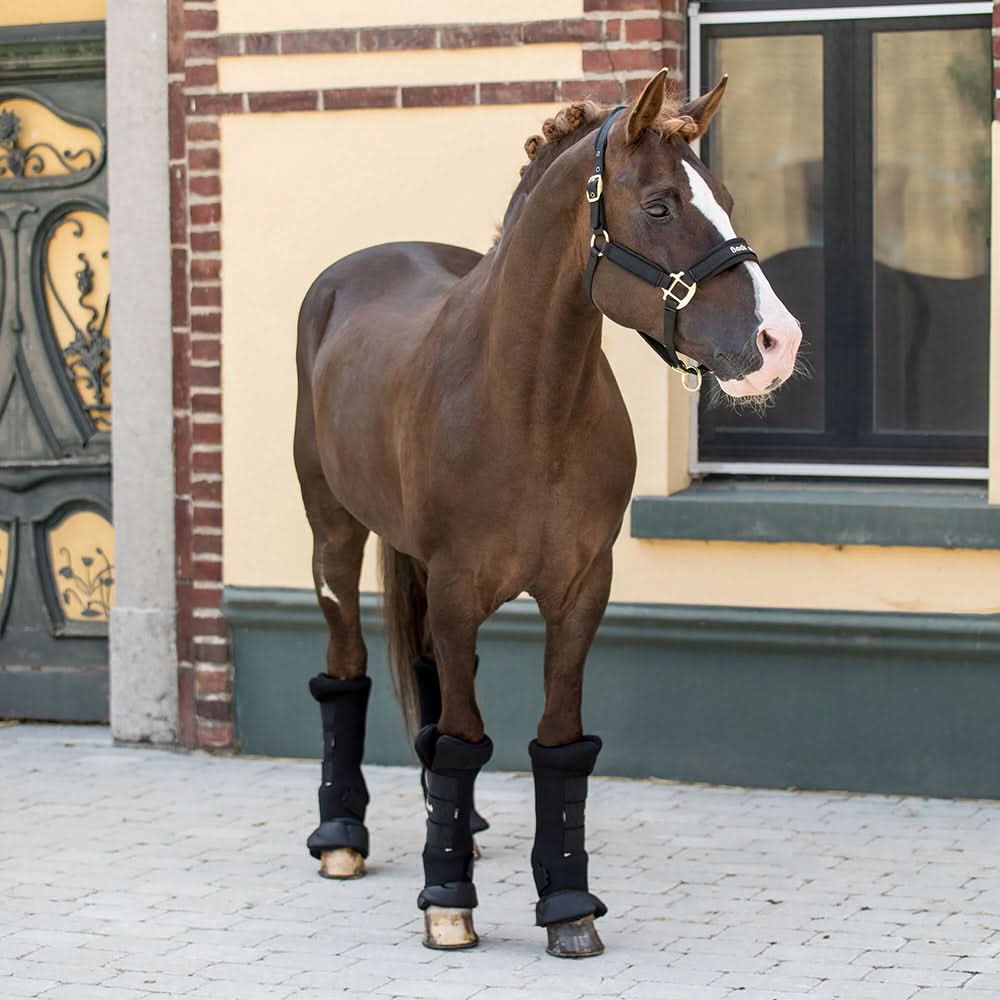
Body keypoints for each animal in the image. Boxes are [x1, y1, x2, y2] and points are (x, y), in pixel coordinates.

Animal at [293, 69, 802, 959]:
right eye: (660, 205)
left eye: (728, 198)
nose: (779, 343)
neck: (530, 406)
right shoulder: (459, 586)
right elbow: (465, 739)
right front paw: (447, 903)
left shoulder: (580, 589)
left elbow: (558, 744)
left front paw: (567, 905)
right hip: (335, 535)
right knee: (346, 667)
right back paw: (343, 838)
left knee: (430, 675)